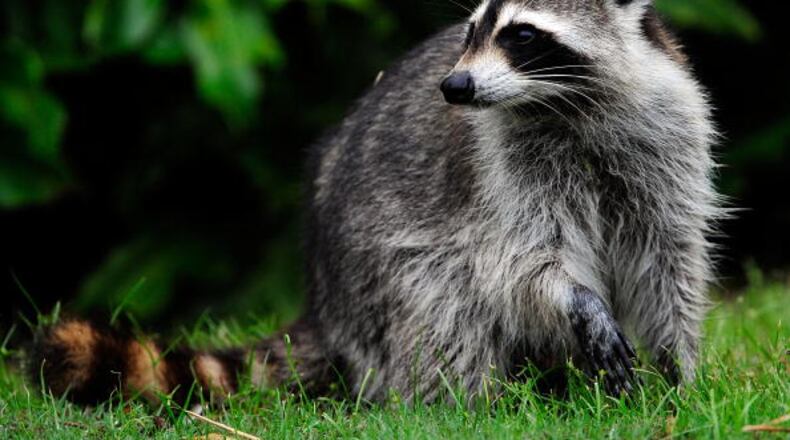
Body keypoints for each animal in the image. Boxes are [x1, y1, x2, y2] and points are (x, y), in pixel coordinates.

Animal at [31, 0, 720, 406]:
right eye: (471, 31)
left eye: (523, 34)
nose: (455, 84)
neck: (566, 103)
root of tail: (323, 303)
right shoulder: (499, 172)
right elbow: (518, 264)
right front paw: (580, 305)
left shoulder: (668, 135)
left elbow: (670, 258)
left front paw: (679, 371)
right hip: (373, 270)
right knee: (443, 305)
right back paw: (475, 405)